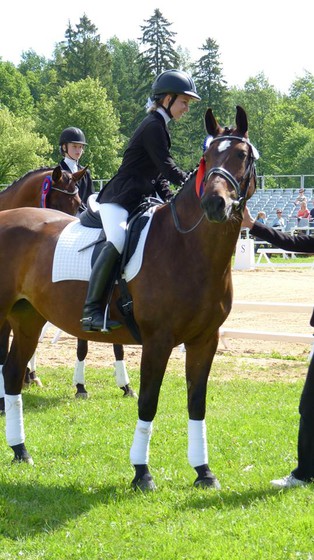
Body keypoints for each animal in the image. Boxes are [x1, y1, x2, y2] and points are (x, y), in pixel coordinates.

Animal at [0, 106, 258, 490]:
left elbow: (197, 403)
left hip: (29, 319)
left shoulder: (204, 340)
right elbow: (149, 402)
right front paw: (142, 472)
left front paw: (204, 471)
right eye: (207, 157)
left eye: (242, 155)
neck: (187, 247)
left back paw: (20, 451)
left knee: (14, 372)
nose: (215, 204)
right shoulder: (157, 341)